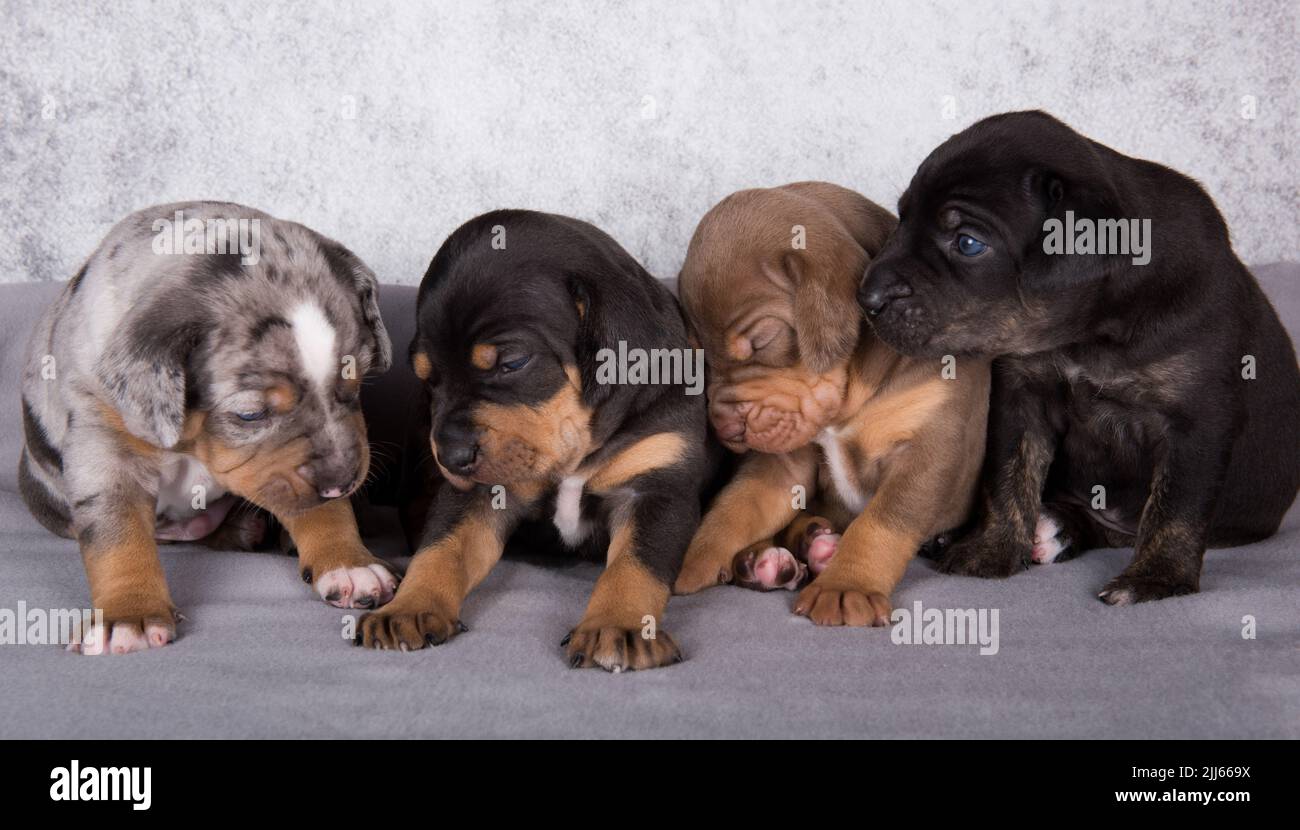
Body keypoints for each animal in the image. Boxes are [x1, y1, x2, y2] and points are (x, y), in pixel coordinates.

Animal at [19, 201, 395, 655]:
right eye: (250, 415)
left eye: (356, 385)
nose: (342, 483)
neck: (192, 440)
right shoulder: (104, 439)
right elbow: (117, 533)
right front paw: (128, 616)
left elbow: (322, 507)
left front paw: (349, 564)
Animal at [351, 210, 707, 671]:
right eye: (428, 378)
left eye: (513, 362)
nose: (451, 456)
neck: (578, 452)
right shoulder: (480, 492)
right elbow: (441, 549)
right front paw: (408, 608)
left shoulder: (656, 488)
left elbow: (634, 567)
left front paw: (618, 627)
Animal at [670, 182, 982, 624]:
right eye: (701, 358)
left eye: (762, 340)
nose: (726, 430)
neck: (851, 396)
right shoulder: (785, 459)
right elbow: (737, 504)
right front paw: (689, 558)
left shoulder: (929, 450)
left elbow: (881, 524)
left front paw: (845, 586)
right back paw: (775, 558)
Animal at [863, 110, 1300, 603]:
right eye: (901, 219)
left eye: (968, 243)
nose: (867, 297)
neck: (1088, 335)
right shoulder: (1022, 395)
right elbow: (1009, 478)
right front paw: (991, 549)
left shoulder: (1197, 421)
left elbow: (1176, 509)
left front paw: (1156, 579)